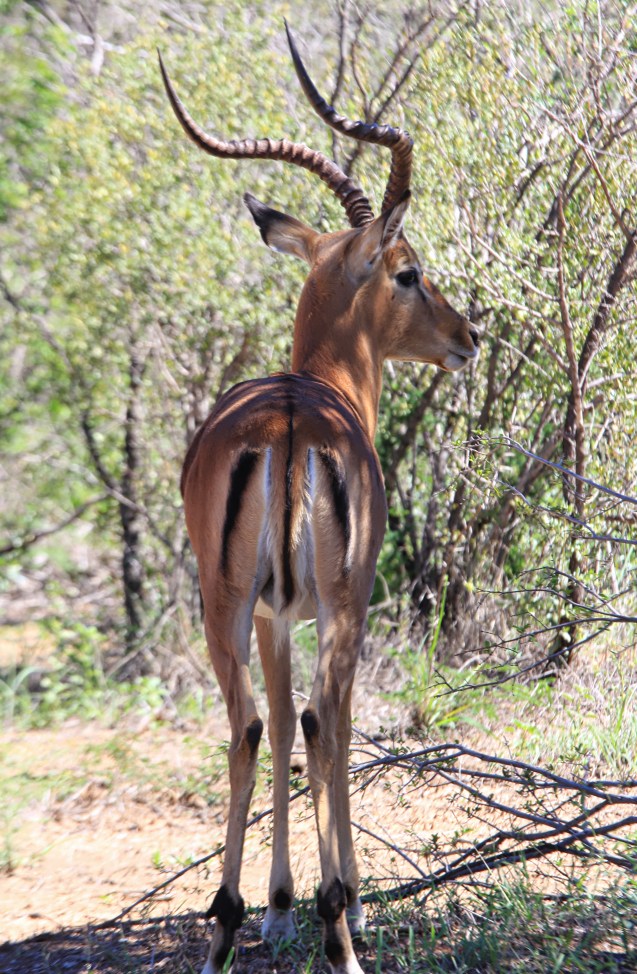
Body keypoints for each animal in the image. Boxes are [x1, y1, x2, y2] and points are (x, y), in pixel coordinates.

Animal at [159, 26, 479, 974]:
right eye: (408, 271)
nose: (467, 336)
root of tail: (293, 423)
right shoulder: (350, 600)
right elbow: (327, 726)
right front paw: (348, 903)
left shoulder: (273, 614)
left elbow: (281, 721)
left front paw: (273, 908)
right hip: (334, 604)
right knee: (323, 716)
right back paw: (340, 927)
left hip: (225, 604)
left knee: (248, 725)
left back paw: (225, 923)